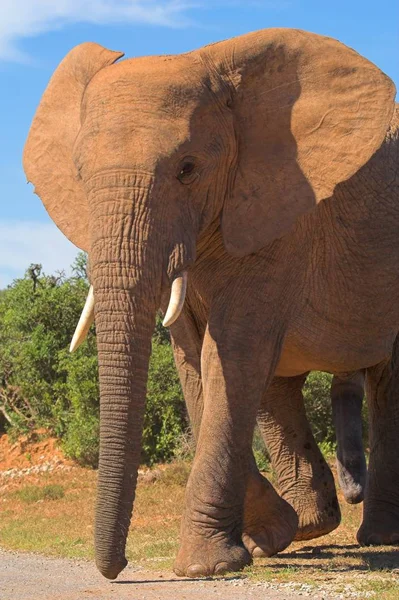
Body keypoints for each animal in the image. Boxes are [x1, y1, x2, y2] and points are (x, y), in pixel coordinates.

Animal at [23, 29, 398, 580]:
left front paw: (206, 567)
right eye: (79, 173)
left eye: (188, 169)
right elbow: (194, 362)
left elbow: (232, 355)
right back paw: (311, 527)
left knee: (387, 382)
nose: (117, 567)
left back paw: (378, 536)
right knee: (278, 386)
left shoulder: (284, 215)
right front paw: (266, 538)